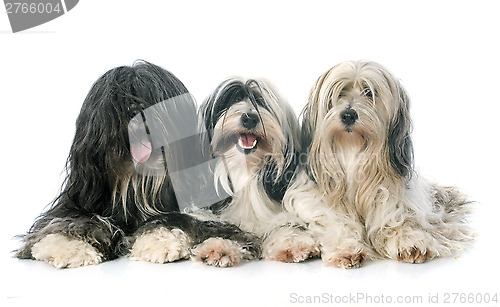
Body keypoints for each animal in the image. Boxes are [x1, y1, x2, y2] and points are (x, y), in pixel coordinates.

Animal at [197, 78, 318, 264]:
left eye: (261, 101)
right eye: (232, 99)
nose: (250, 118)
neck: (246, 170)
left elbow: (284, 223)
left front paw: (291, 243)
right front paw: (218, 246)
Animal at [284, 61, 474, 268]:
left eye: (369, 92)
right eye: (339, 92)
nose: (348, 114)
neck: (351, 149)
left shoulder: (394, 196)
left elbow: (399, 219)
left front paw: (409, 240)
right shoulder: (314, 199)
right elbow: (335, 221)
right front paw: (346, 248)